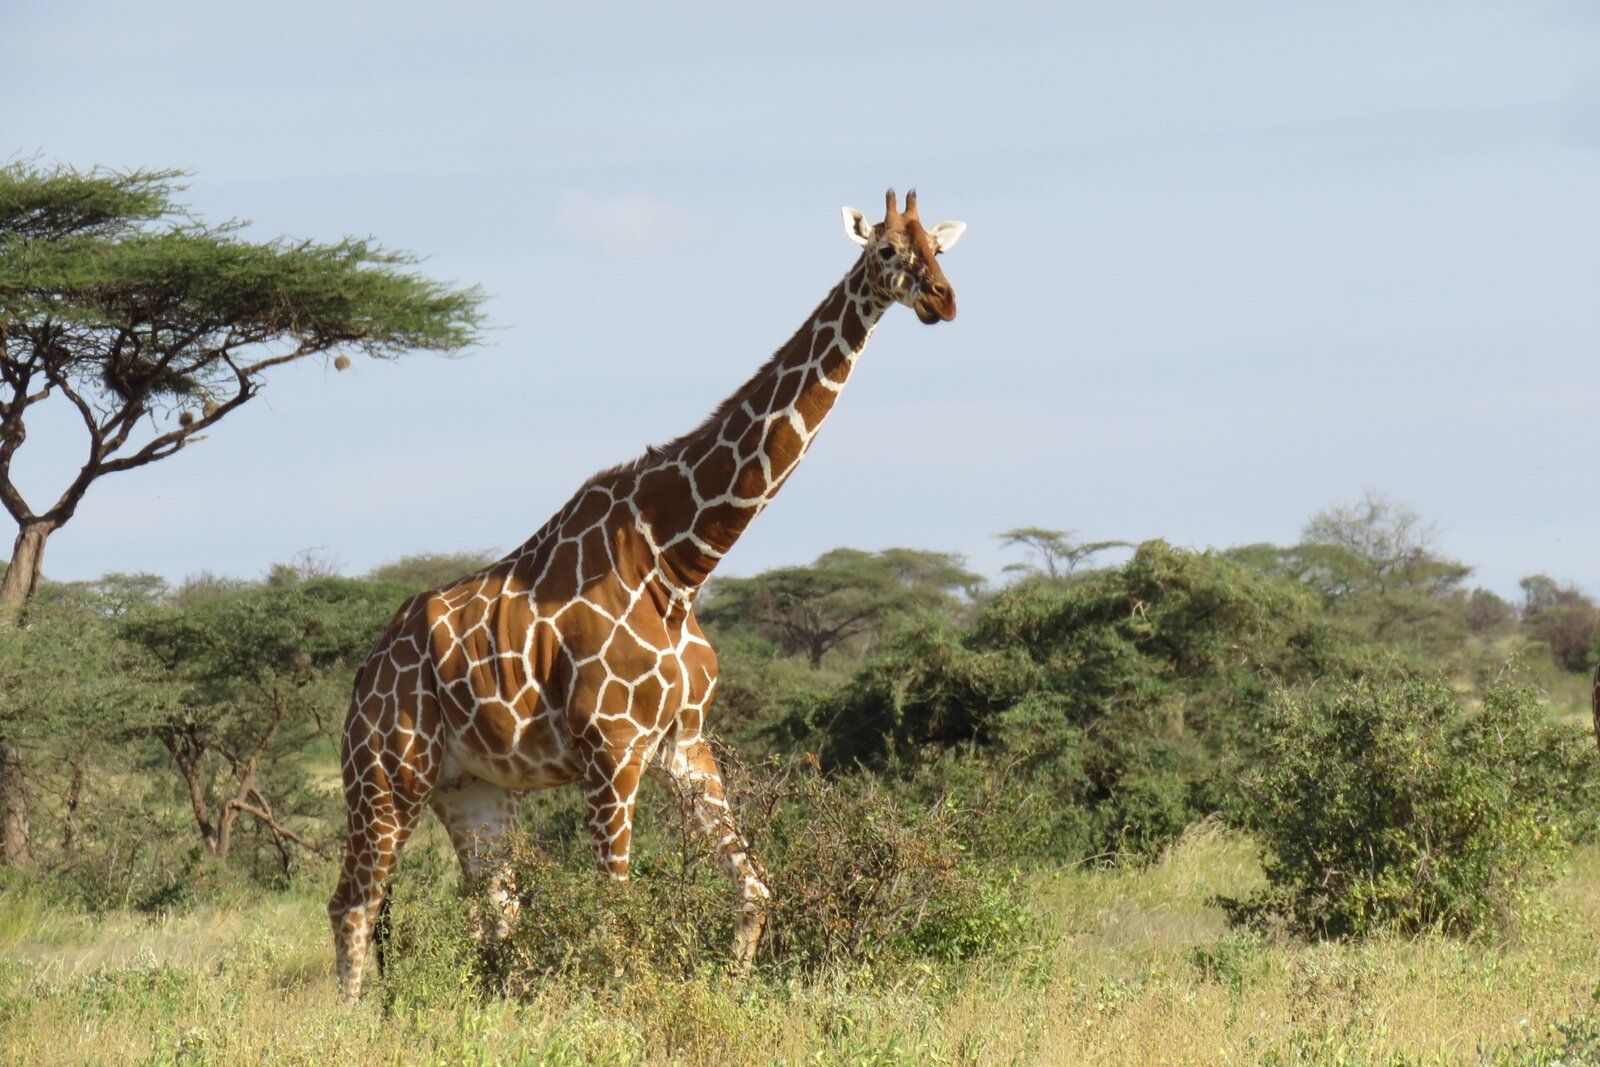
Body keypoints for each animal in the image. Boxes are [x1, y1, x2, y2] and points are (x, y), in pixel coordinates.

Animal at [328, 189, 966, 999]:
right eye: (887, 250)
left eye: (940, 248)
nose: (943, 300)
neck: (680, 561)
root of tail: (364, 672)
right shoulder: (612, 748)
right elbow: (615, 910)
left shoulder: (682, 743)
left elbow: (755, 890)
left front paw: (732, 990)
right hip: (386, 772)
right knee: (353, 902)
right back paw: (349, 1018)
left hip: (471, 787)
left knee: (493, 912)